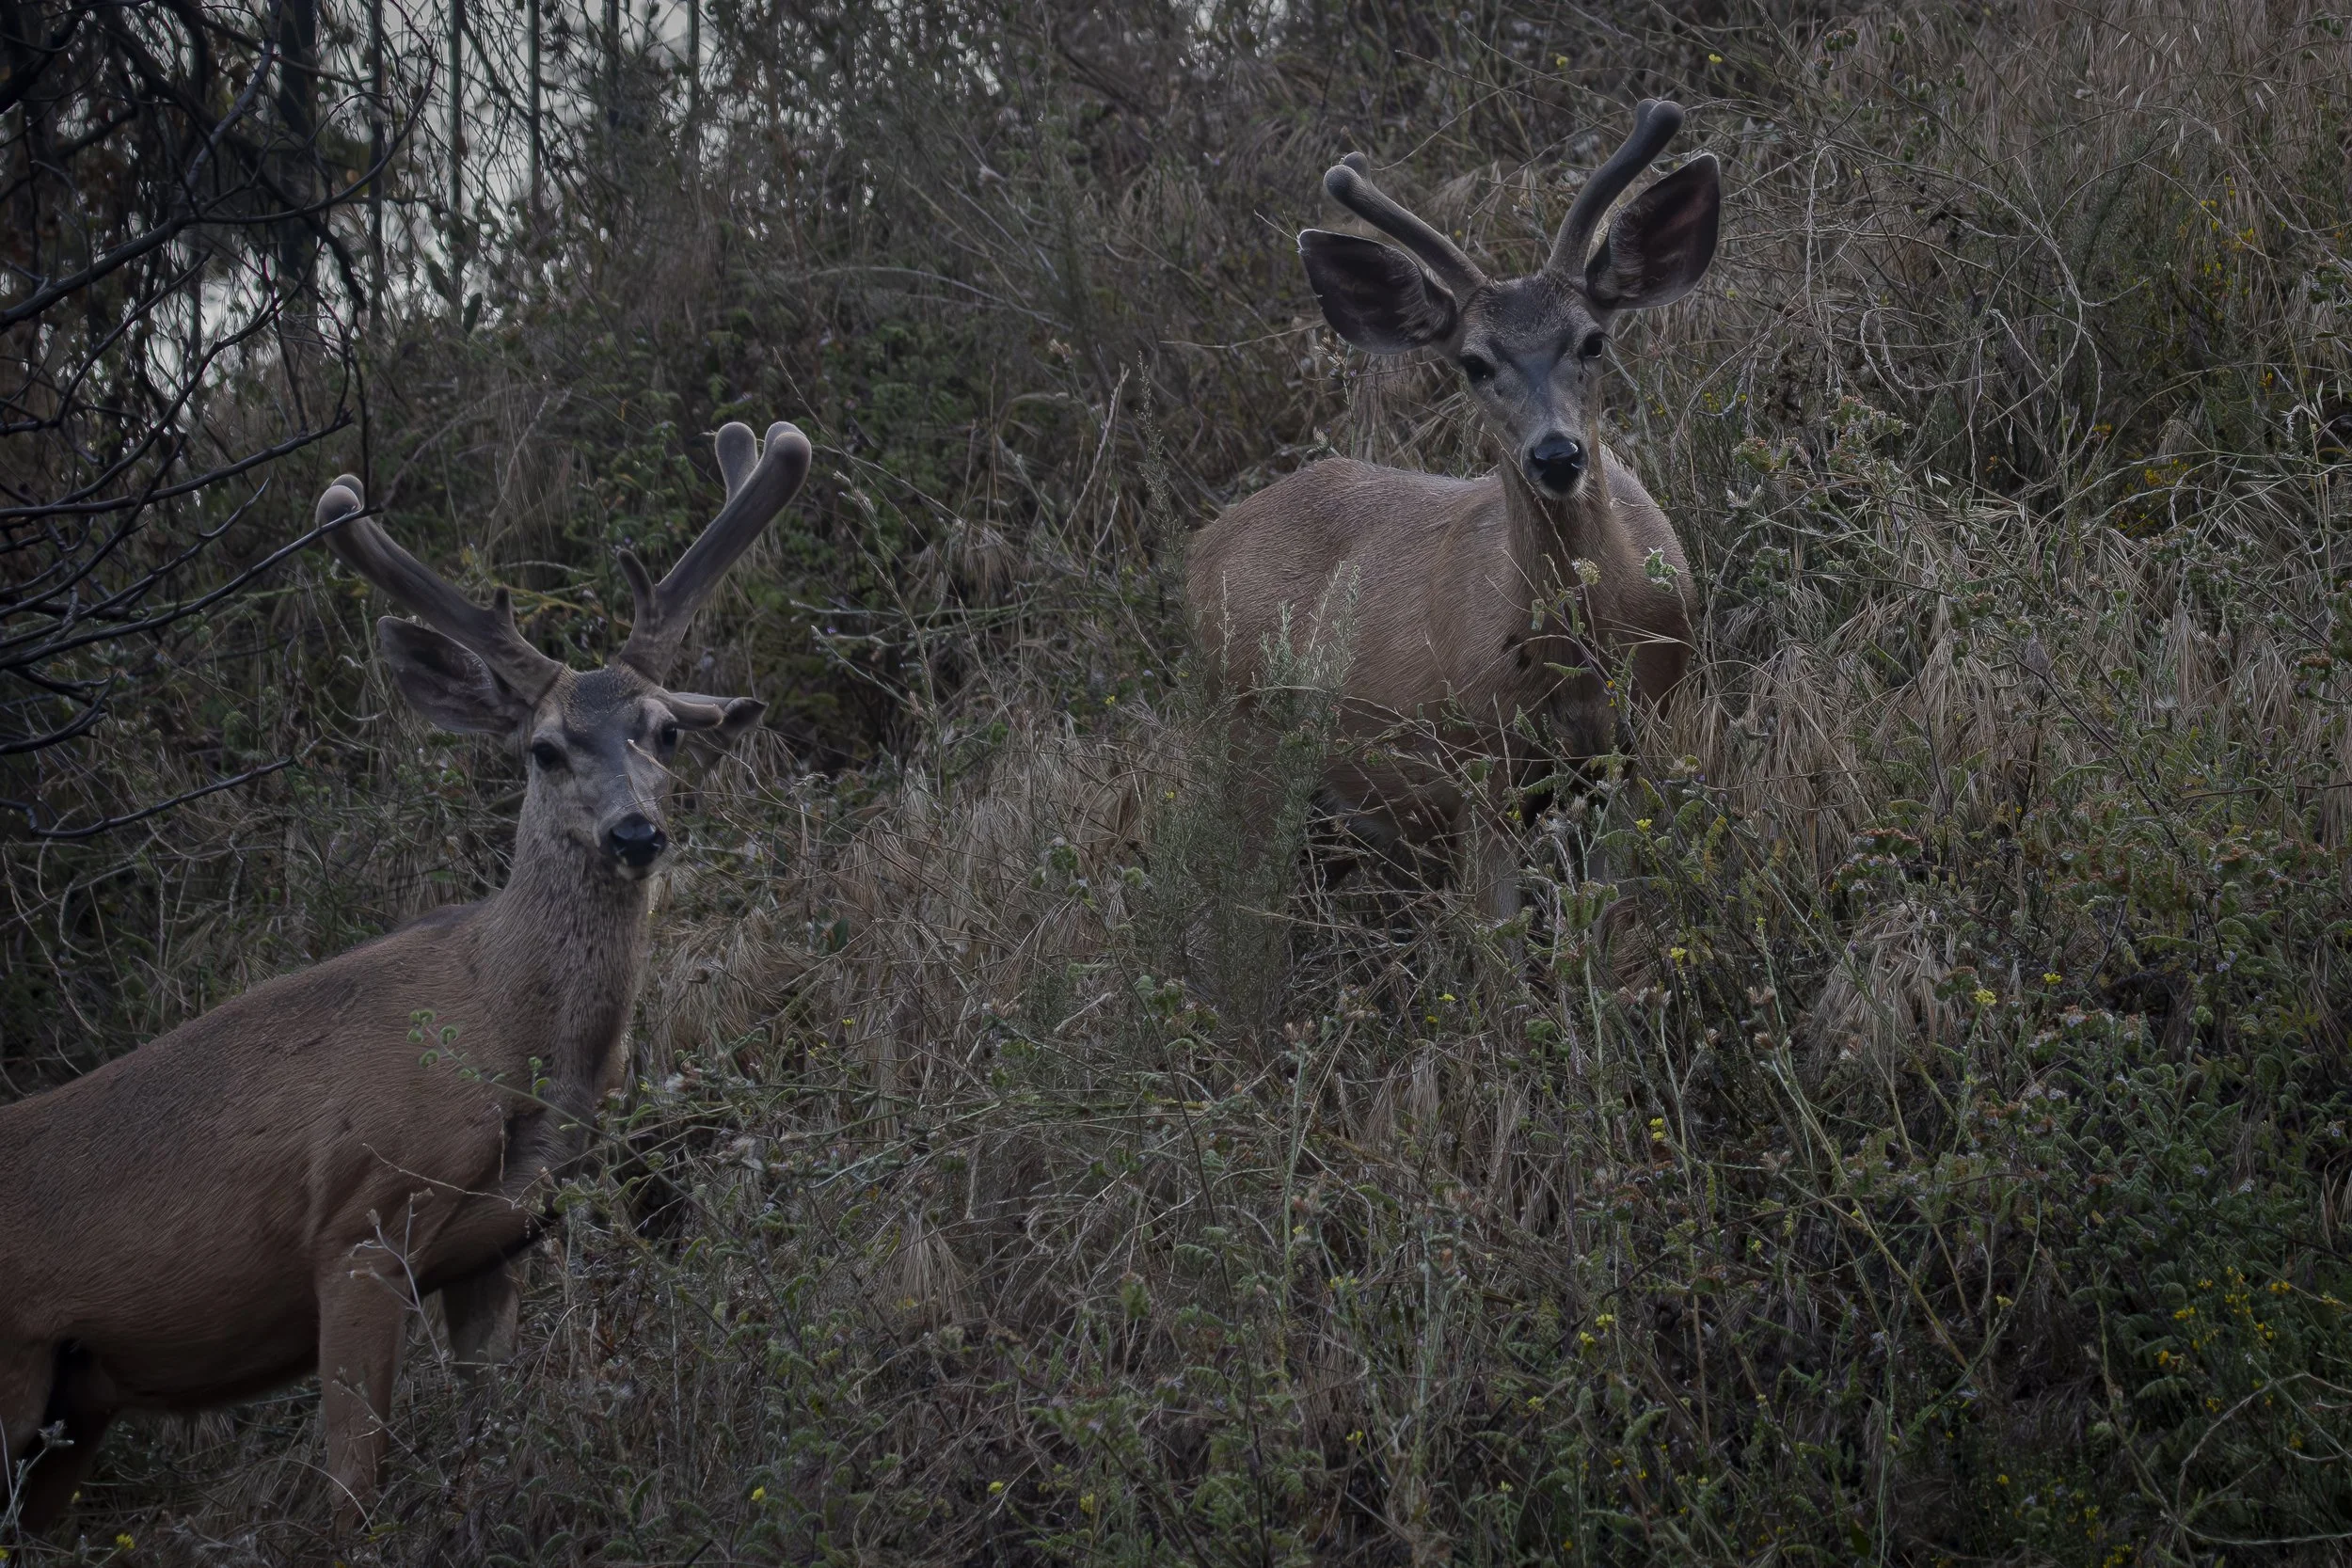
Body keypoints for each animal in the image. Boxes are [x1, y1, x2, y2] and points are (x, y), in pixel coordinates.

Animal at [0, 419, 811, 1534]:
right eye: (544, 747)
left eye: (667, 732)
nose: (635, 831)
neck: (509, 1034)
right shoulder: (358, 1223)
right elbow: (356, 1487)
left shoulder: (502, 1243)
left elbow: (486, 1432)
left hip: (72, 1406)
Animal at [1188, 100, 1718, 920]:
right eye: (1474, 362)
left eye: (1593, 340)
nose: (1556, 454)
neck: (1583, 651)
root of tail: (1198, 548)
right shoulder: (1481, 767)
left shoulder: (1637, 744)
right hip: (1247, 741)